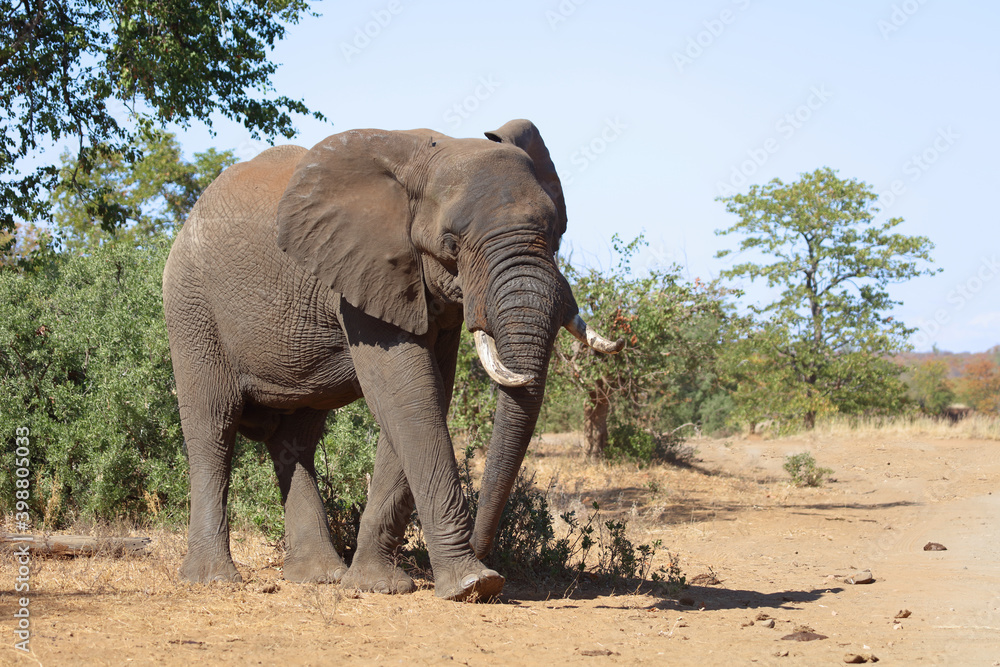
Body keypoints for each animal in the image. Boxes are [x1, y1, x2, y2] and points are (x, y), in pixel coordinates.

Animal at [162, 119, 623, 600]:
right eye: (451, 244)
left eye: (556, 235)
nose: (489, 556)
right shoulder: (363, 274)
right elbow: (408, 394)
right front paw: (472, 584)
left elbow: (425, 395)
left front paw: (377, 586)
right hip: (191, 306)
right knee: (213, 425)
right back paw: (213, 579)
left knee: (295, 439)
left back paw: (319, 576)